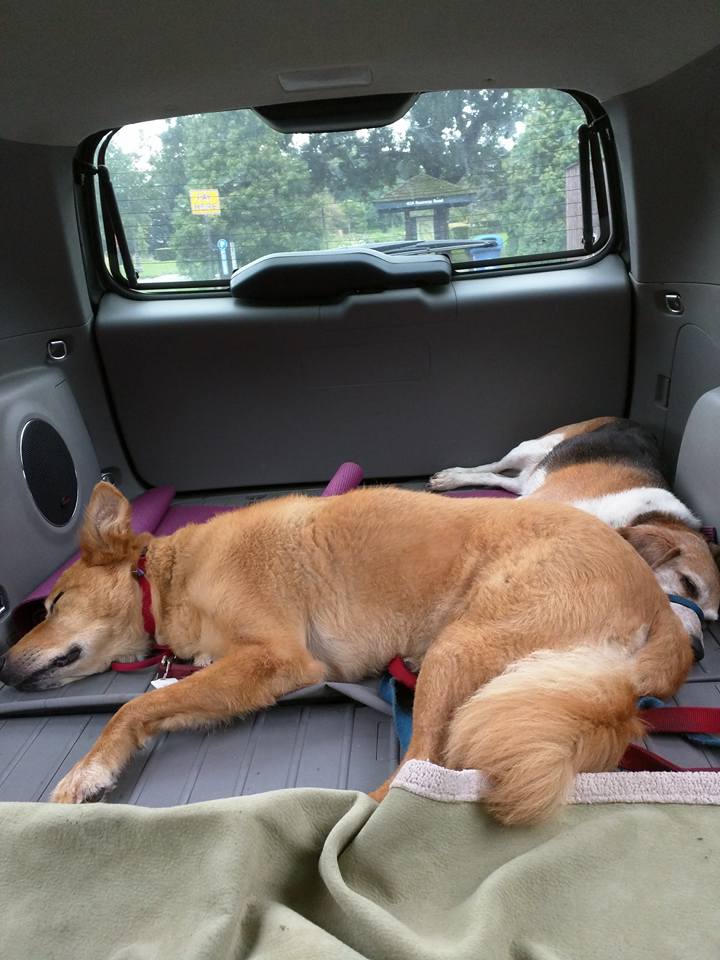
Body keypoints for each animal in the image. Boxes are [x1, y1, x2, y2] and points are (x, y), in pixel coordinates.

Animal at [0, 480, 696, 824]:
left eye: (54, 603)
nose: (3, 668)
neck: (171, 579)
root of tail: (659, 606)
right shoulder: (234, 668)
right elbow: (166, 702)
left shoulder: (279, 659)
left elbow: (129, 710)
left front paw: (88, 770)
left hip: (458, 645)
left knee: (422, 766)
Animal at [430, 416, 716, 640]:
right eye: (689, 584)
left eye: (711, 620)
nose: (697, 649)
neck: (638, 517)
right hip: (530, 448)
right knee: (492, 467)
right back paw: (452, 477)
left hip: (532, 477)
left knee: (503, 480)